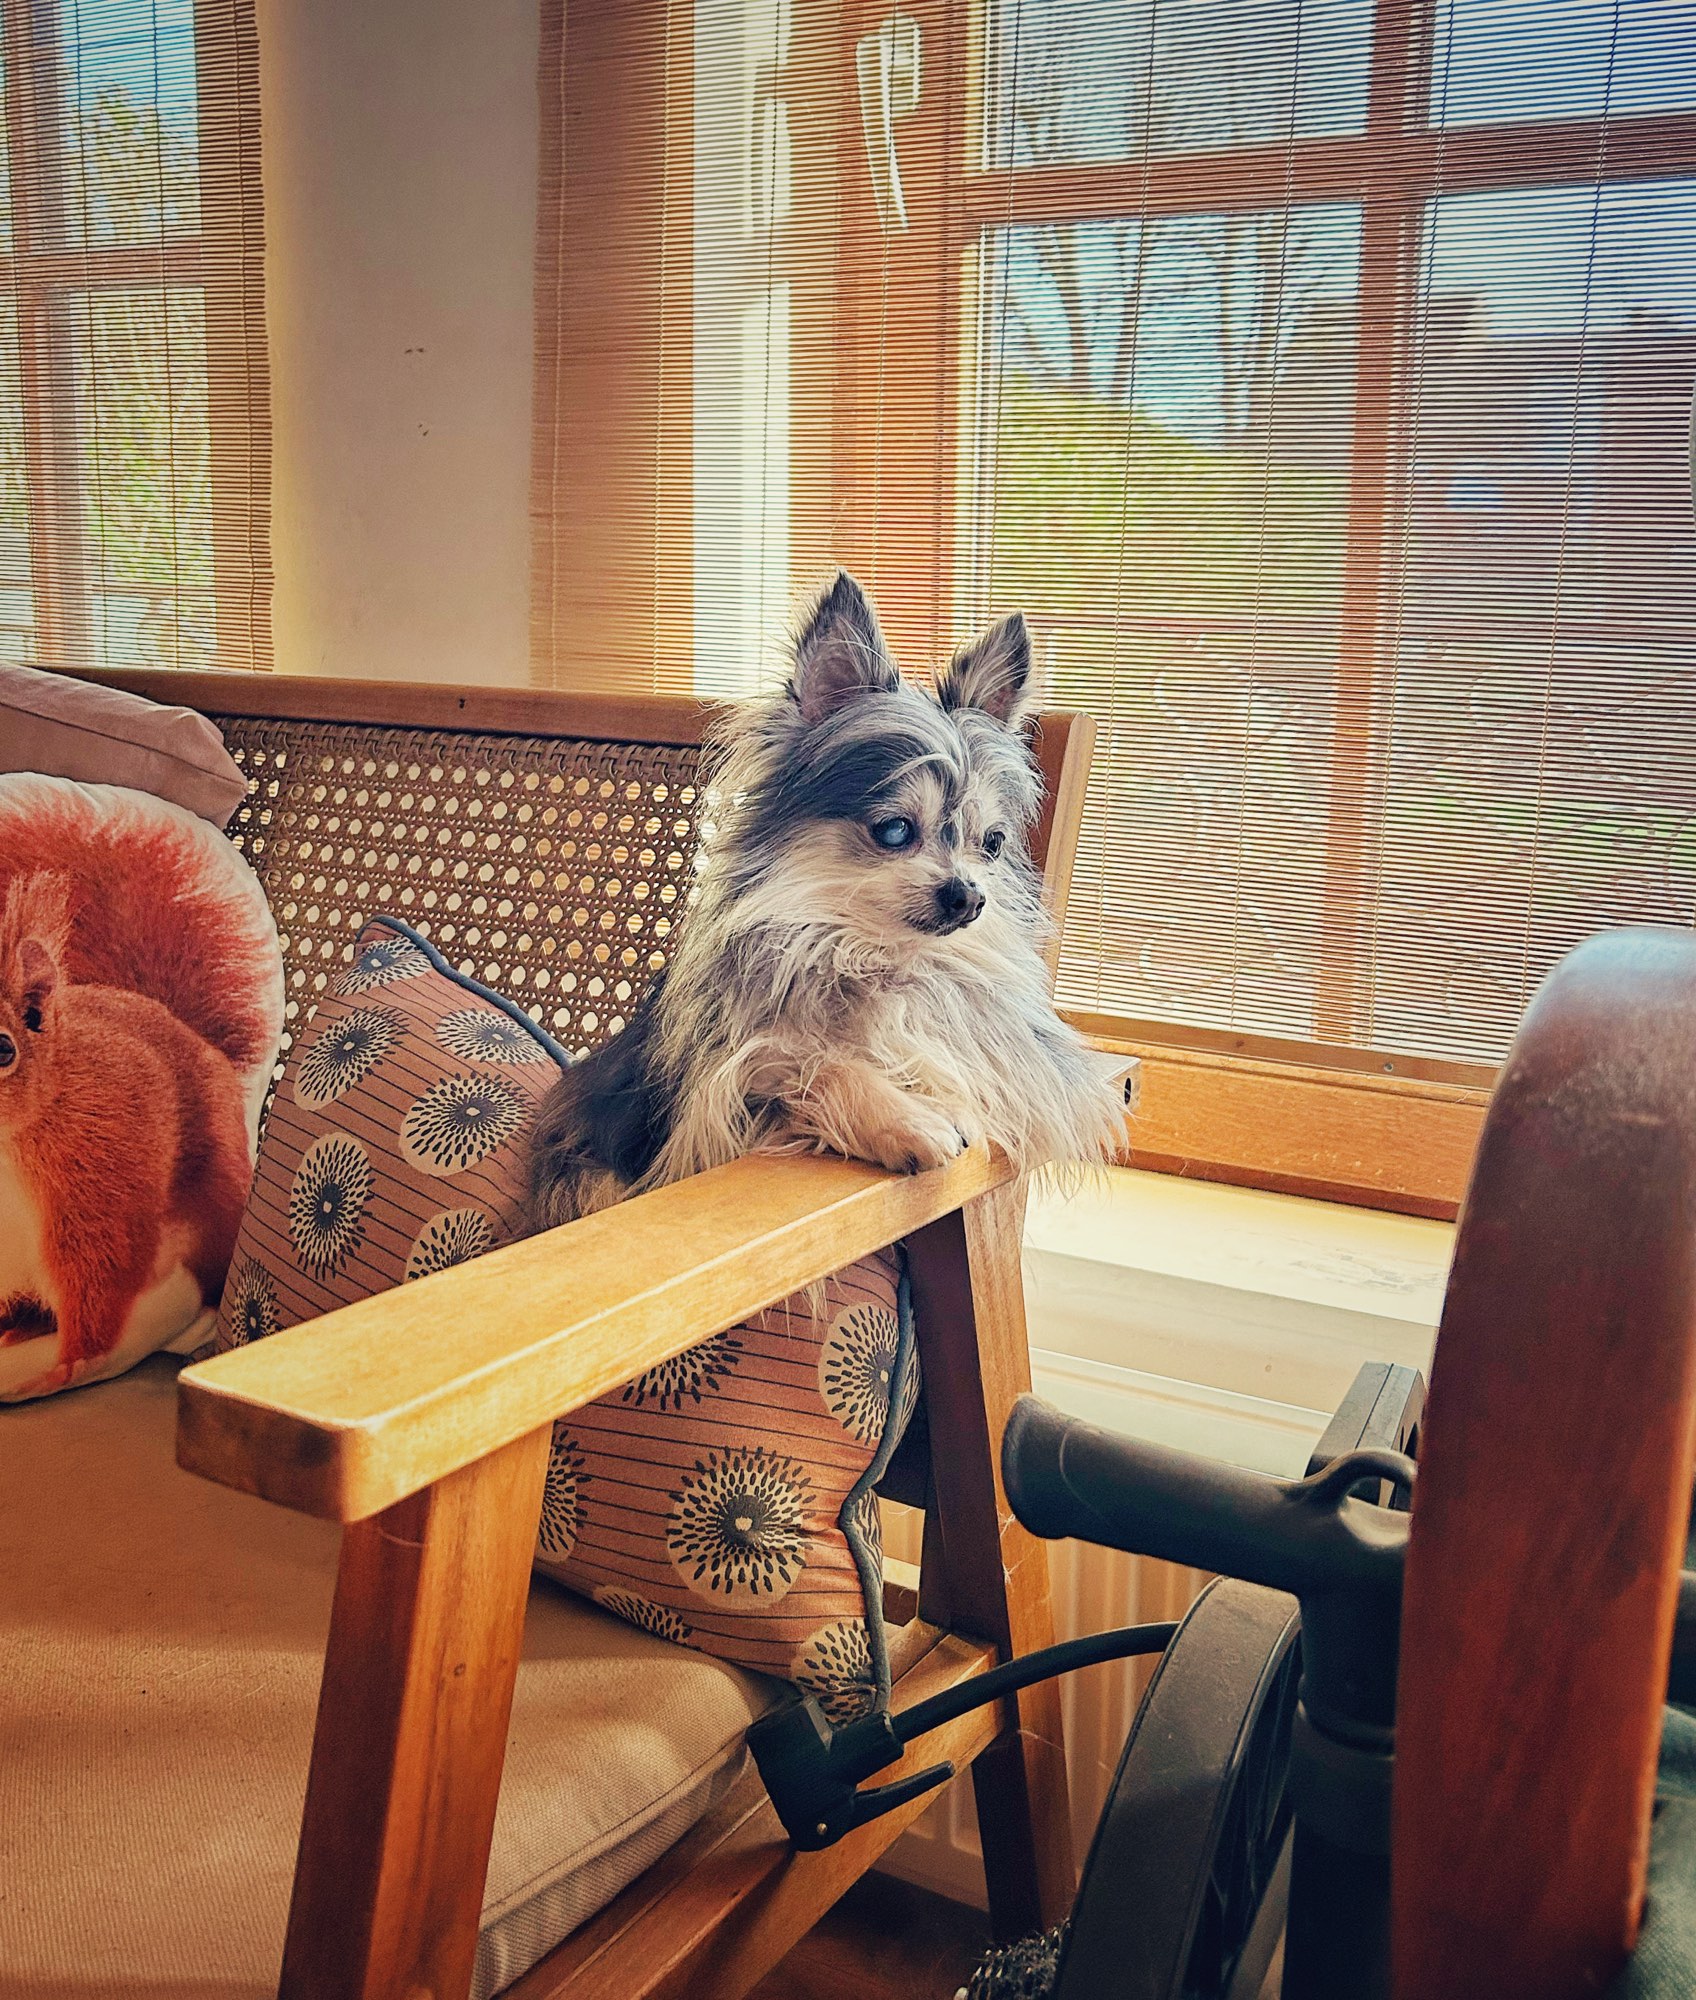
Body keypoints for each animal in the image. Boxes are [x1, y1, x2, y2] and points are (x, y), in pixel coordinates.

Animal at [527, 571, 1127, 1229]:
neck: (876, 957)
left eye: (990, 843)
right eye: (894, 830)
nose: (969, 896)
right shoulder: (720, 1094)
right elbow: (814, 1063)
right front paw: (906, 1119)